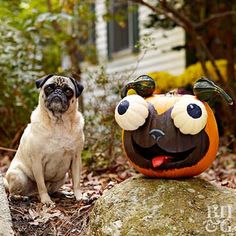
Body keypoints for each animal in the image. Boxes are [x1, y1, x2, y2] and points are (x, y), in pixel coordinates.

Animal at [4, 74, 85, 205]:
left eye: (68, 91)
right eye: (49, 88)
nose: (58, 92)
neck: (58, 123)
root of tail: (33, 193)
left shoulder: (76, 158)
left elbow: (77, 181)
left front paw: (79, 196)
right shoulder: (37, 160)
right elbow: (41, 184)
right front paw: (46, 200)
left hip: (64, 177)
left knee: (50, 190)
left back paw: (61, 193)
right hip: (18, 176)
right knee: (12, 192)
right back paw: (20, 197)